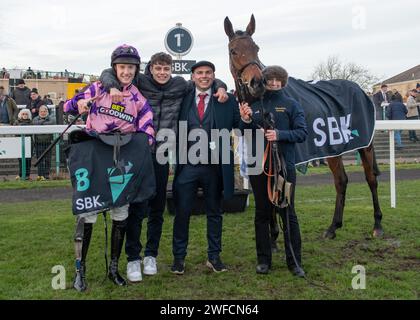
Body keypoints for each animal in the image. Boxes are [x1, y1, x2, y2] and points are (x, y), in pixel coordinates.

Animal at [226, 15, 384, 240]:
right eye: (233, 50)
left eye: (256, 48)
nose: (257, 82)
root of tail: (360, 90)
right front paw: (273, 235)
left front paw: (278, 236)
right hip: (333, 148)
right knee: (341, 180)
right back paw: (333, 227)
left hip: (365, 145)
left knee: (371, 179)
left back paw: (377, 224)